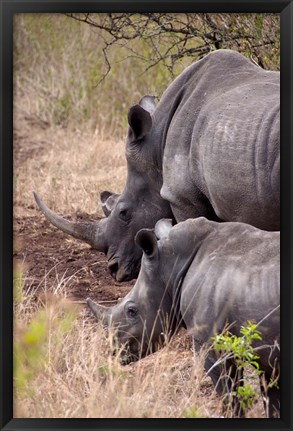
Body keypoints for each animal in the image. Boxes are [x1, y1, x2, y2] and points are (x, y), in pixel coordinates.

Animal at [88, 219, 280, 418]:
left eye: (132, 311)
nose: (113, 352)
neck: (172, 266)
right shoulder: (267, 354)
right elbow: (272, 398)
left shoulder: (214, 344)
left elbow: (230, 397)